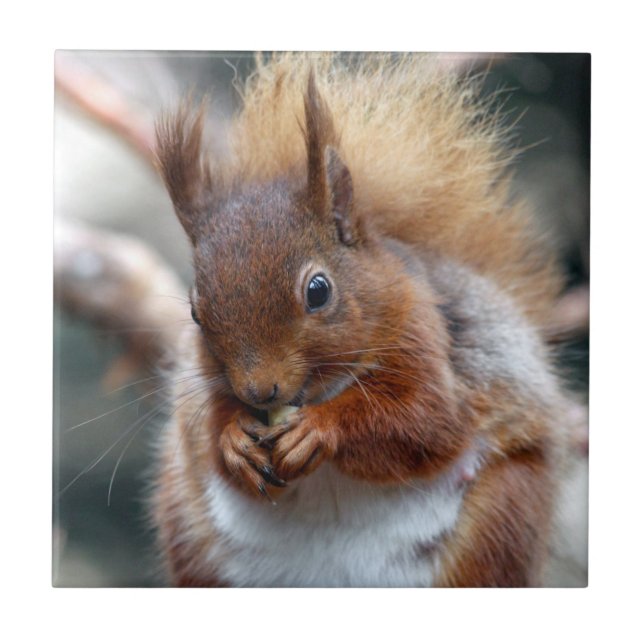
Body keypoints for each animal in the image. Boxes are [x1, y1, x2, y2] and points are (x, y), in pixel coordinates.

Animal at [151, 53, 570, 587]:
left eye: (318, 290)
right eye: (194, 312)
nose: (260, 391)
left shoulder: (425, 339)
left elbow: (427, 422)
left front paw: (320, 430)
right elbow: (210, 431)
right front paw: (233, 441)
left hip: (500, 520)